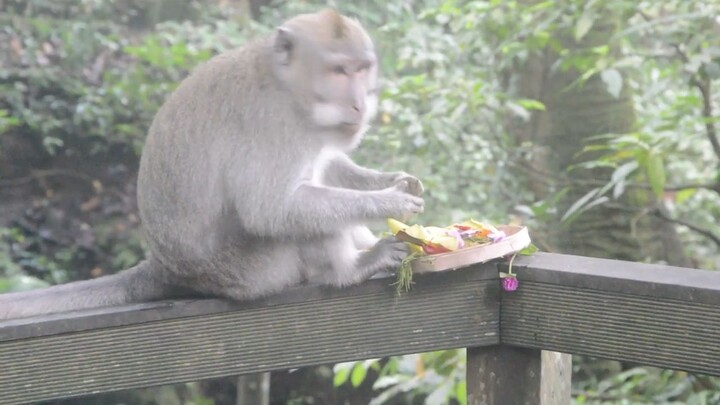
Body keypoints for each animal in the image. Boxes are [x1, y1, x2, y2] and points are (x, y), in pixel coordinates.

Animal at [0, 9, 424, 320]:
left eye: (361, 68)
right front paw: (391, 201)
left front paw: (397, 180)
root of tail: (163, 266)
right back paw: (349, 270)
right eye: (338, 71)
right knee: (295, 221)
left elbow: (327, 161)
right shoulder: (272, 125)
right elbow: (271, 210)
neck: (286, 85)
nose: (359, 104)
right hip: (250, 270)